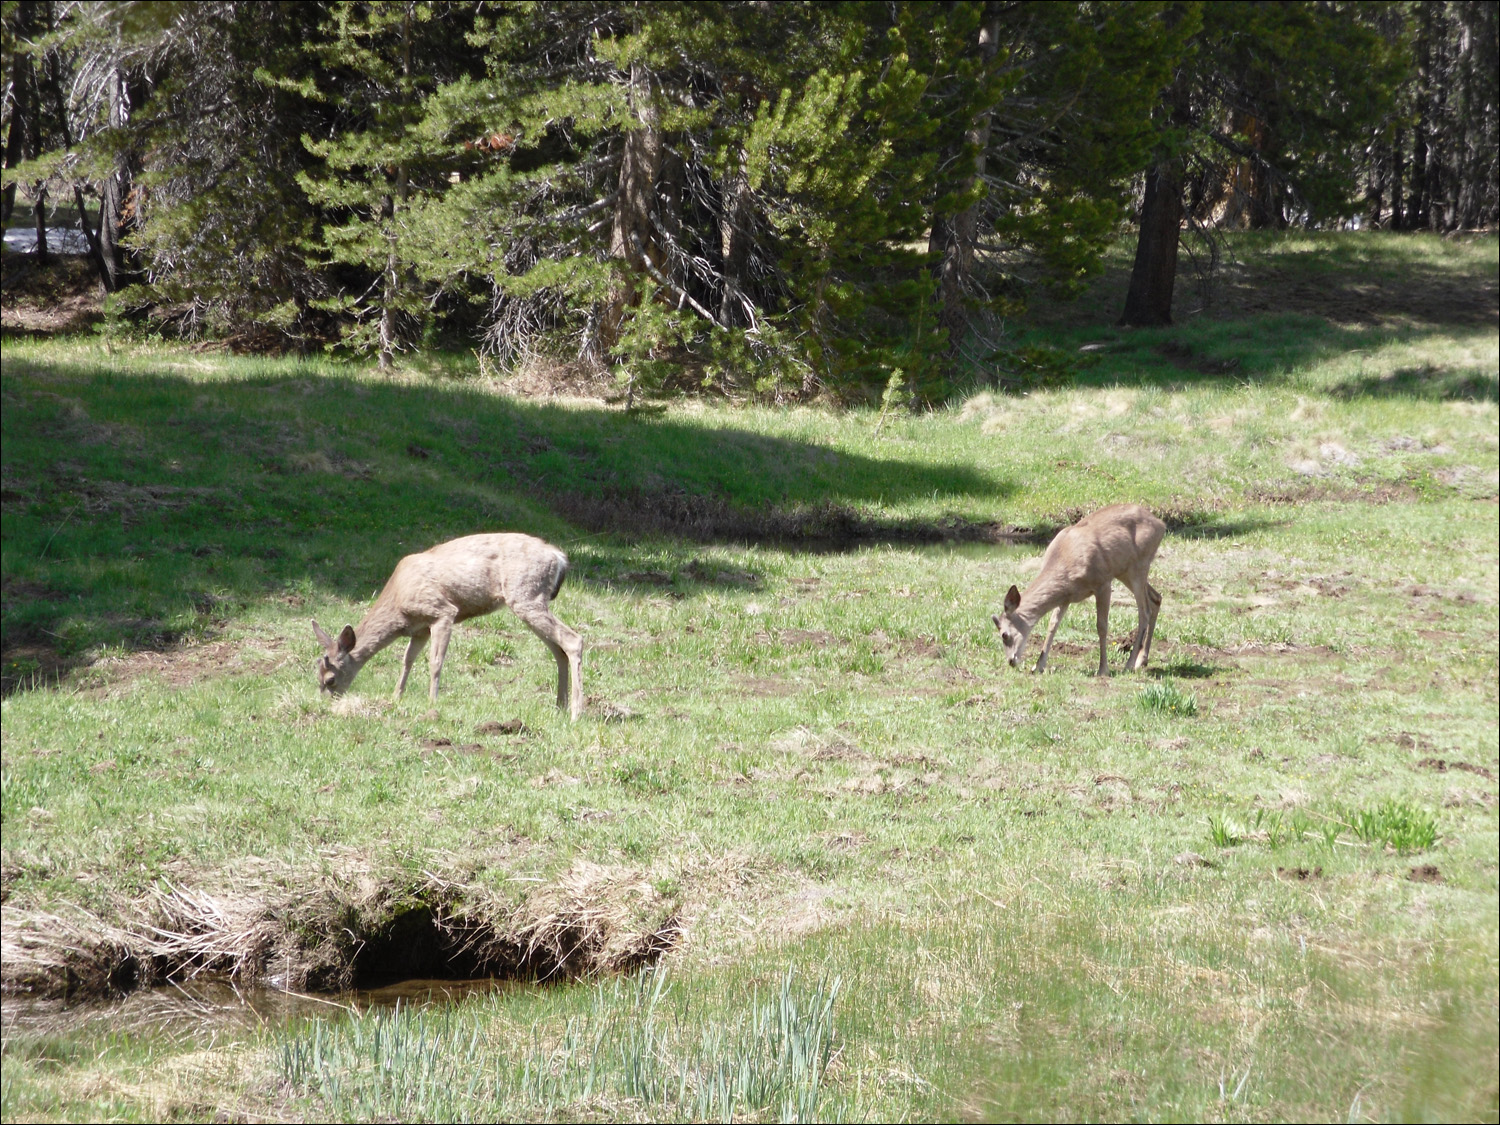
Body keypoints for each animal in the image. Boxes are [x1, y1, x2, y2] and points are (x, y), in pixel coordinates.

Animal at [307, 531, 582, 723]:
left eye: (330, 679)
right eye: (316, 676)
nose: (326, 704)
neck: (398, 603)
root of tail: (559, 557)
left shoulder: (442, 611)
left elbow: (435, 662)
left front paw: (432, 704)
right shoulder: (418, 629)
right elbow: (407, 660)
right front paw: (396, 697)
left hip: (526, 594)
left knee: (573, 639)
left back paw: (576, 713)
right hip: (529, 600)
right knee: (558, 649)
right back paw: (559, 706)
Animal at [990, 504, 1164, 678]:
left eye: (1004, 634)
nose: (1011, 661)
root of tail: (1161, 524)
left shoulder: (1102, 583)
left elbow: (1101, 626)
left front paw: (1103, 669)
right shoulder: (1066, 597)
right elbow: (1053, 624)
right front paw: (1038, 666)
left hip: (1139, 565)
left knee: (1144, 612)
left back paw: (1129, 664)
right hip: (1125, 571)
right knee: (1156, 598)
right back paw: (1142, 660)